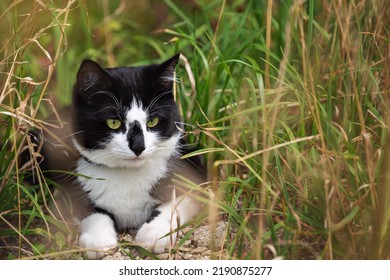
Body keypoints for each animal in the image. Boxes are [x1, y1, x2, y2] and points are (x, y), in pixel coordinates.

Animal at [42, 53, 207, 260]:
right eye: (113, 122)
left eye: (153, 121)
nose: (138, 146)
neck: (128, 176)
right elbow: (90, 210)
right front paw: (99, 239)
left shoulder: (194, 166)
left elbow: (178, 200)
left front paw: (154, 233)